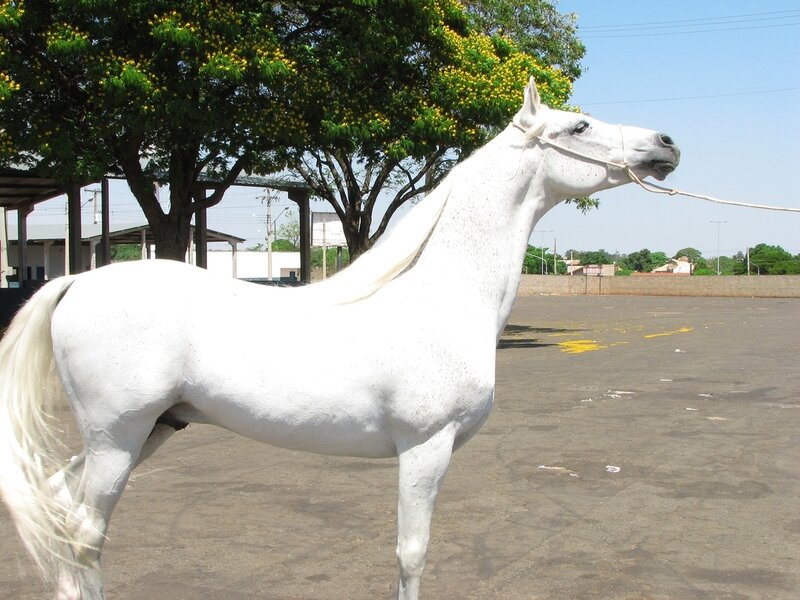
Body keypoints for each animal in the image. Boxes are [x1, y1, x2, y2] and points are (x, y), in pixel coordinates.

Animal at [0, 77, 679, 600]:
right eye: (578, 126)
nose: (666, 145)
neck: (441, 295)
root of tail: (75, 284)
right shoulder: (425, 448)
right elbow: (411, 553)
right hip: (118, 436)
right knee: (84, 531)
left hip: (152, 430)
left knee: (63, 509)